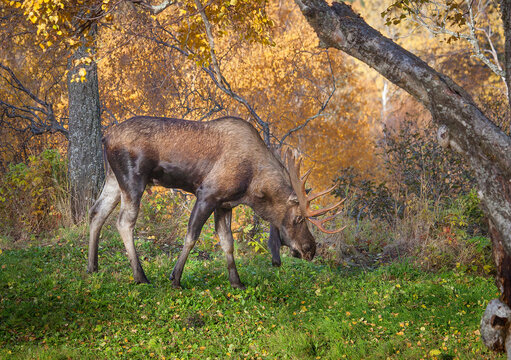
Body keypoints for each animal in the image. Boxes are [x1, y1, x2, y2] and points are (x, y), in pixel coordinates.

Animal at [88, 116, 344, 288]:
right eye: (298, 217)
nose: (310, 249)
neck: (252, 186)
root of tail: (106, 137)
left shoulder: (225, 204)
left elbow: (227, 242)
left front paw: (237, 282)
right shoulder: (207, 193)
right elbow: (191, 236)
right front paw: (175, 278)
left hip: (113, 179)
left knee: (96, 213)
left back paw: (93, 266)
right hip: (133, 179)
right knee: (124, 222)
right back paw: (140, 276)